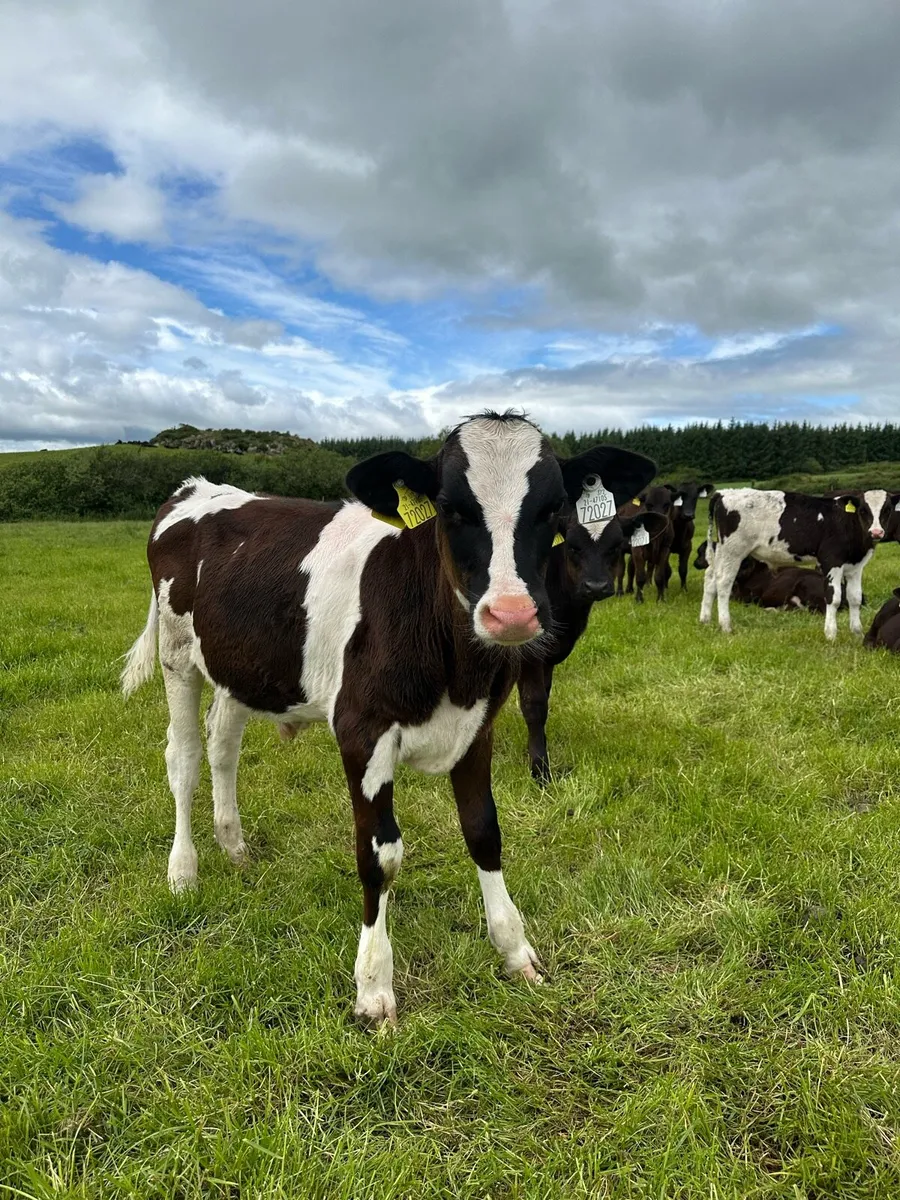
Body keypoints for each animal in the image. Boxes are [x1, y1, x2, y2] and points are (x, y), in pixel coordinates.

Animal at [516, 504, 665, 782]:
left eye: (616, 545)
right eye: (573, 546)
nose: (596, 586)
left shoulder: (549, 657)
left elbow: (544, 702)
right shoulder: (528, 652)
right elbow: (534, 704)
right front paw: (540, 769)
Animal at [699, 489, 878, 640]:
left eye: (884, 511)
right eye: (863, 510)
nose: (877, 532)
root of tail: (724, 492)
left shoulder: (856, 566)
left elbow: (855, 597)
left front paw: (857, 633)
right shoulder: (832, 561)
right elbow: (833, 598)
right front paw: (831, 634)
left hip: (722, 551)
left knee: (711, 578)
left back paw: (705, 619)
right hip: (733, 550)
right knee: (723, 582)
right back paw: (726, 626)